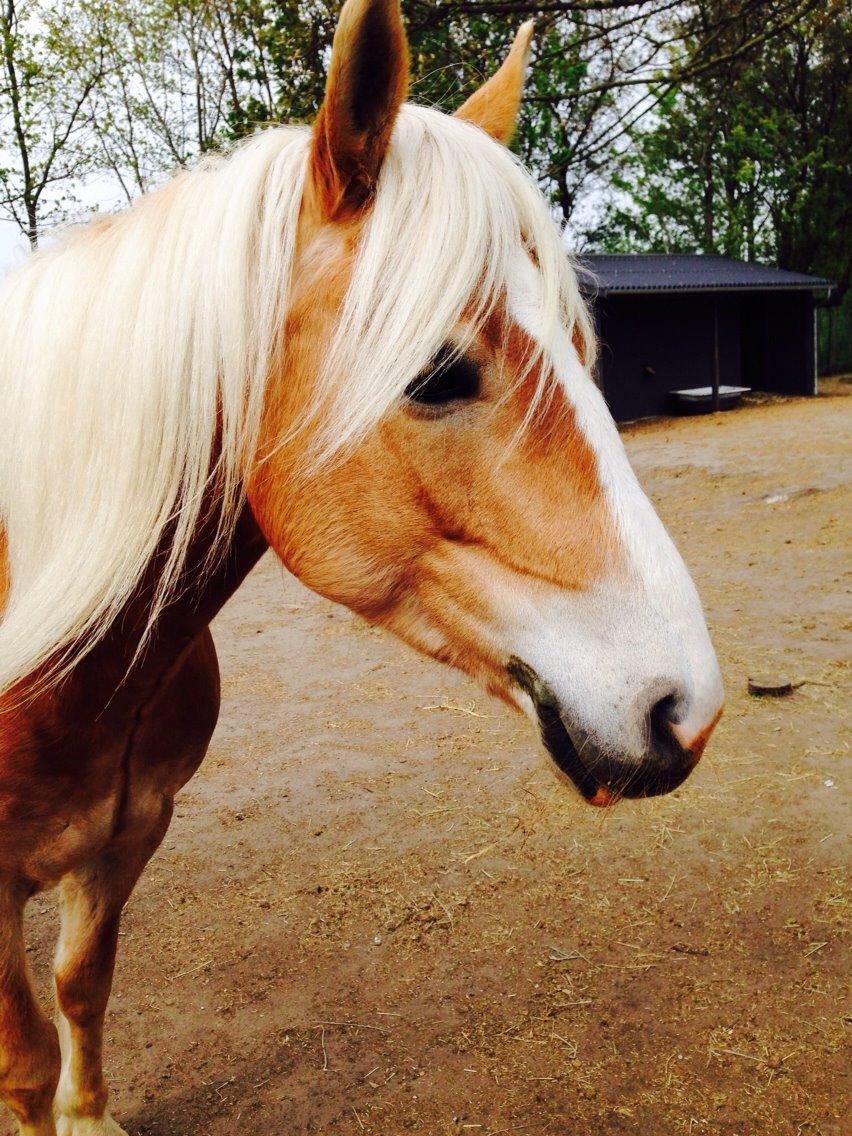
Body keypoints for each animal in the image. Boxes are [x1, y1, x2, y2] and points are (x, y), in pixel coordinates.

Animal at [0, 4, 722, 1131]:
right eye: (436, 371)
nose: (686, 708)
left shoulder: (126, 838)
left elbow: (82, 984)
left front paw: (92, 1113)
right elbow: (26, 1058)